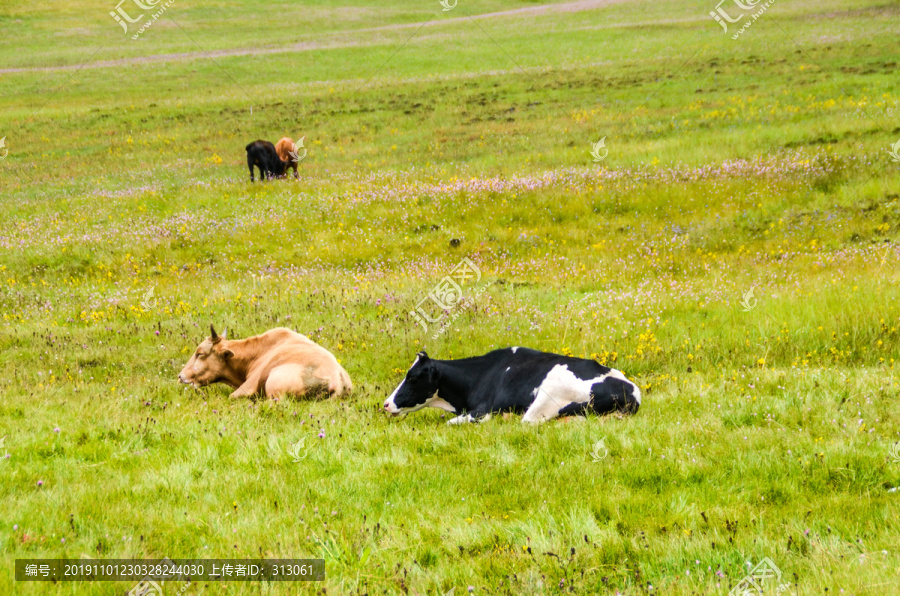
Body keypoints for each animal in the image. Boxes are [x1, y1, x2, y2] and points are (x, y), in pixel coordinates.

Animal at [380, 346, 640, 426]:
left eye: (412, 377)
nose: (386, 404)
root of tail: (631, 391)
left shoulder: (482, 411)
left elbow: (450, 423)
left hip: (543, 402)